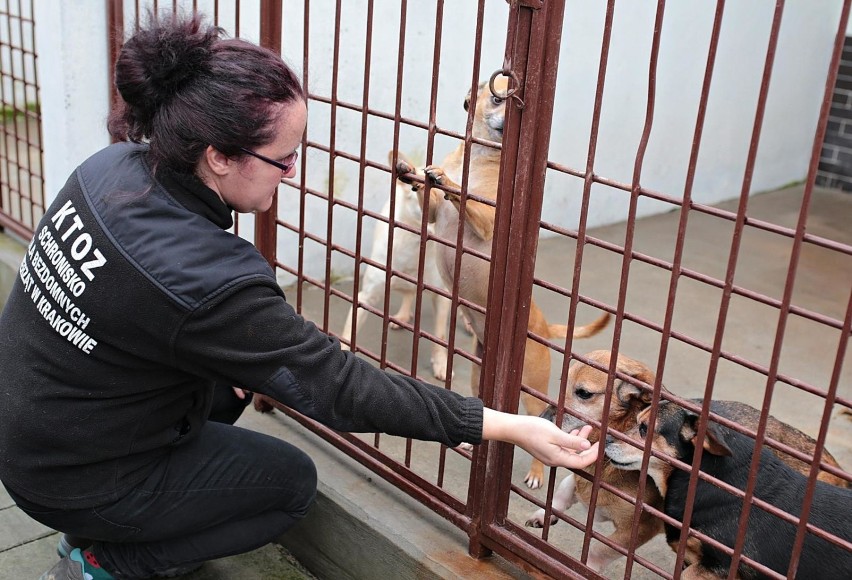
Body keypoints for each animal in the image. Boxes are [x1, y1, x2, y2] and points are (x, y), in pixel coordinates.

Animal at [342, 152, 456, 382]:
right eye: (418, 191)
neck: (415, 249)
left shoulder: (442, 299)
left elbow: (439, 337)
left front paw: (441, 364)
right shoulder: (365, 297)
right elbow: (349, 331)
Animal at [396, 73, 608, 490]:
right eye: (496, 98)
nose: (512, 120)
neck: (479, 158)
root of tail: (539, 324)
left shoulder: (489, 222)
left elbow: (462, 197)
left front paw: (446, 179)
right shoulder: (433, 216)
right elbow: (428, 198)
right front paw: (412, 173)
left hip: (532, 391)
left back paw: (536, 474)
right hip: (480, 374)